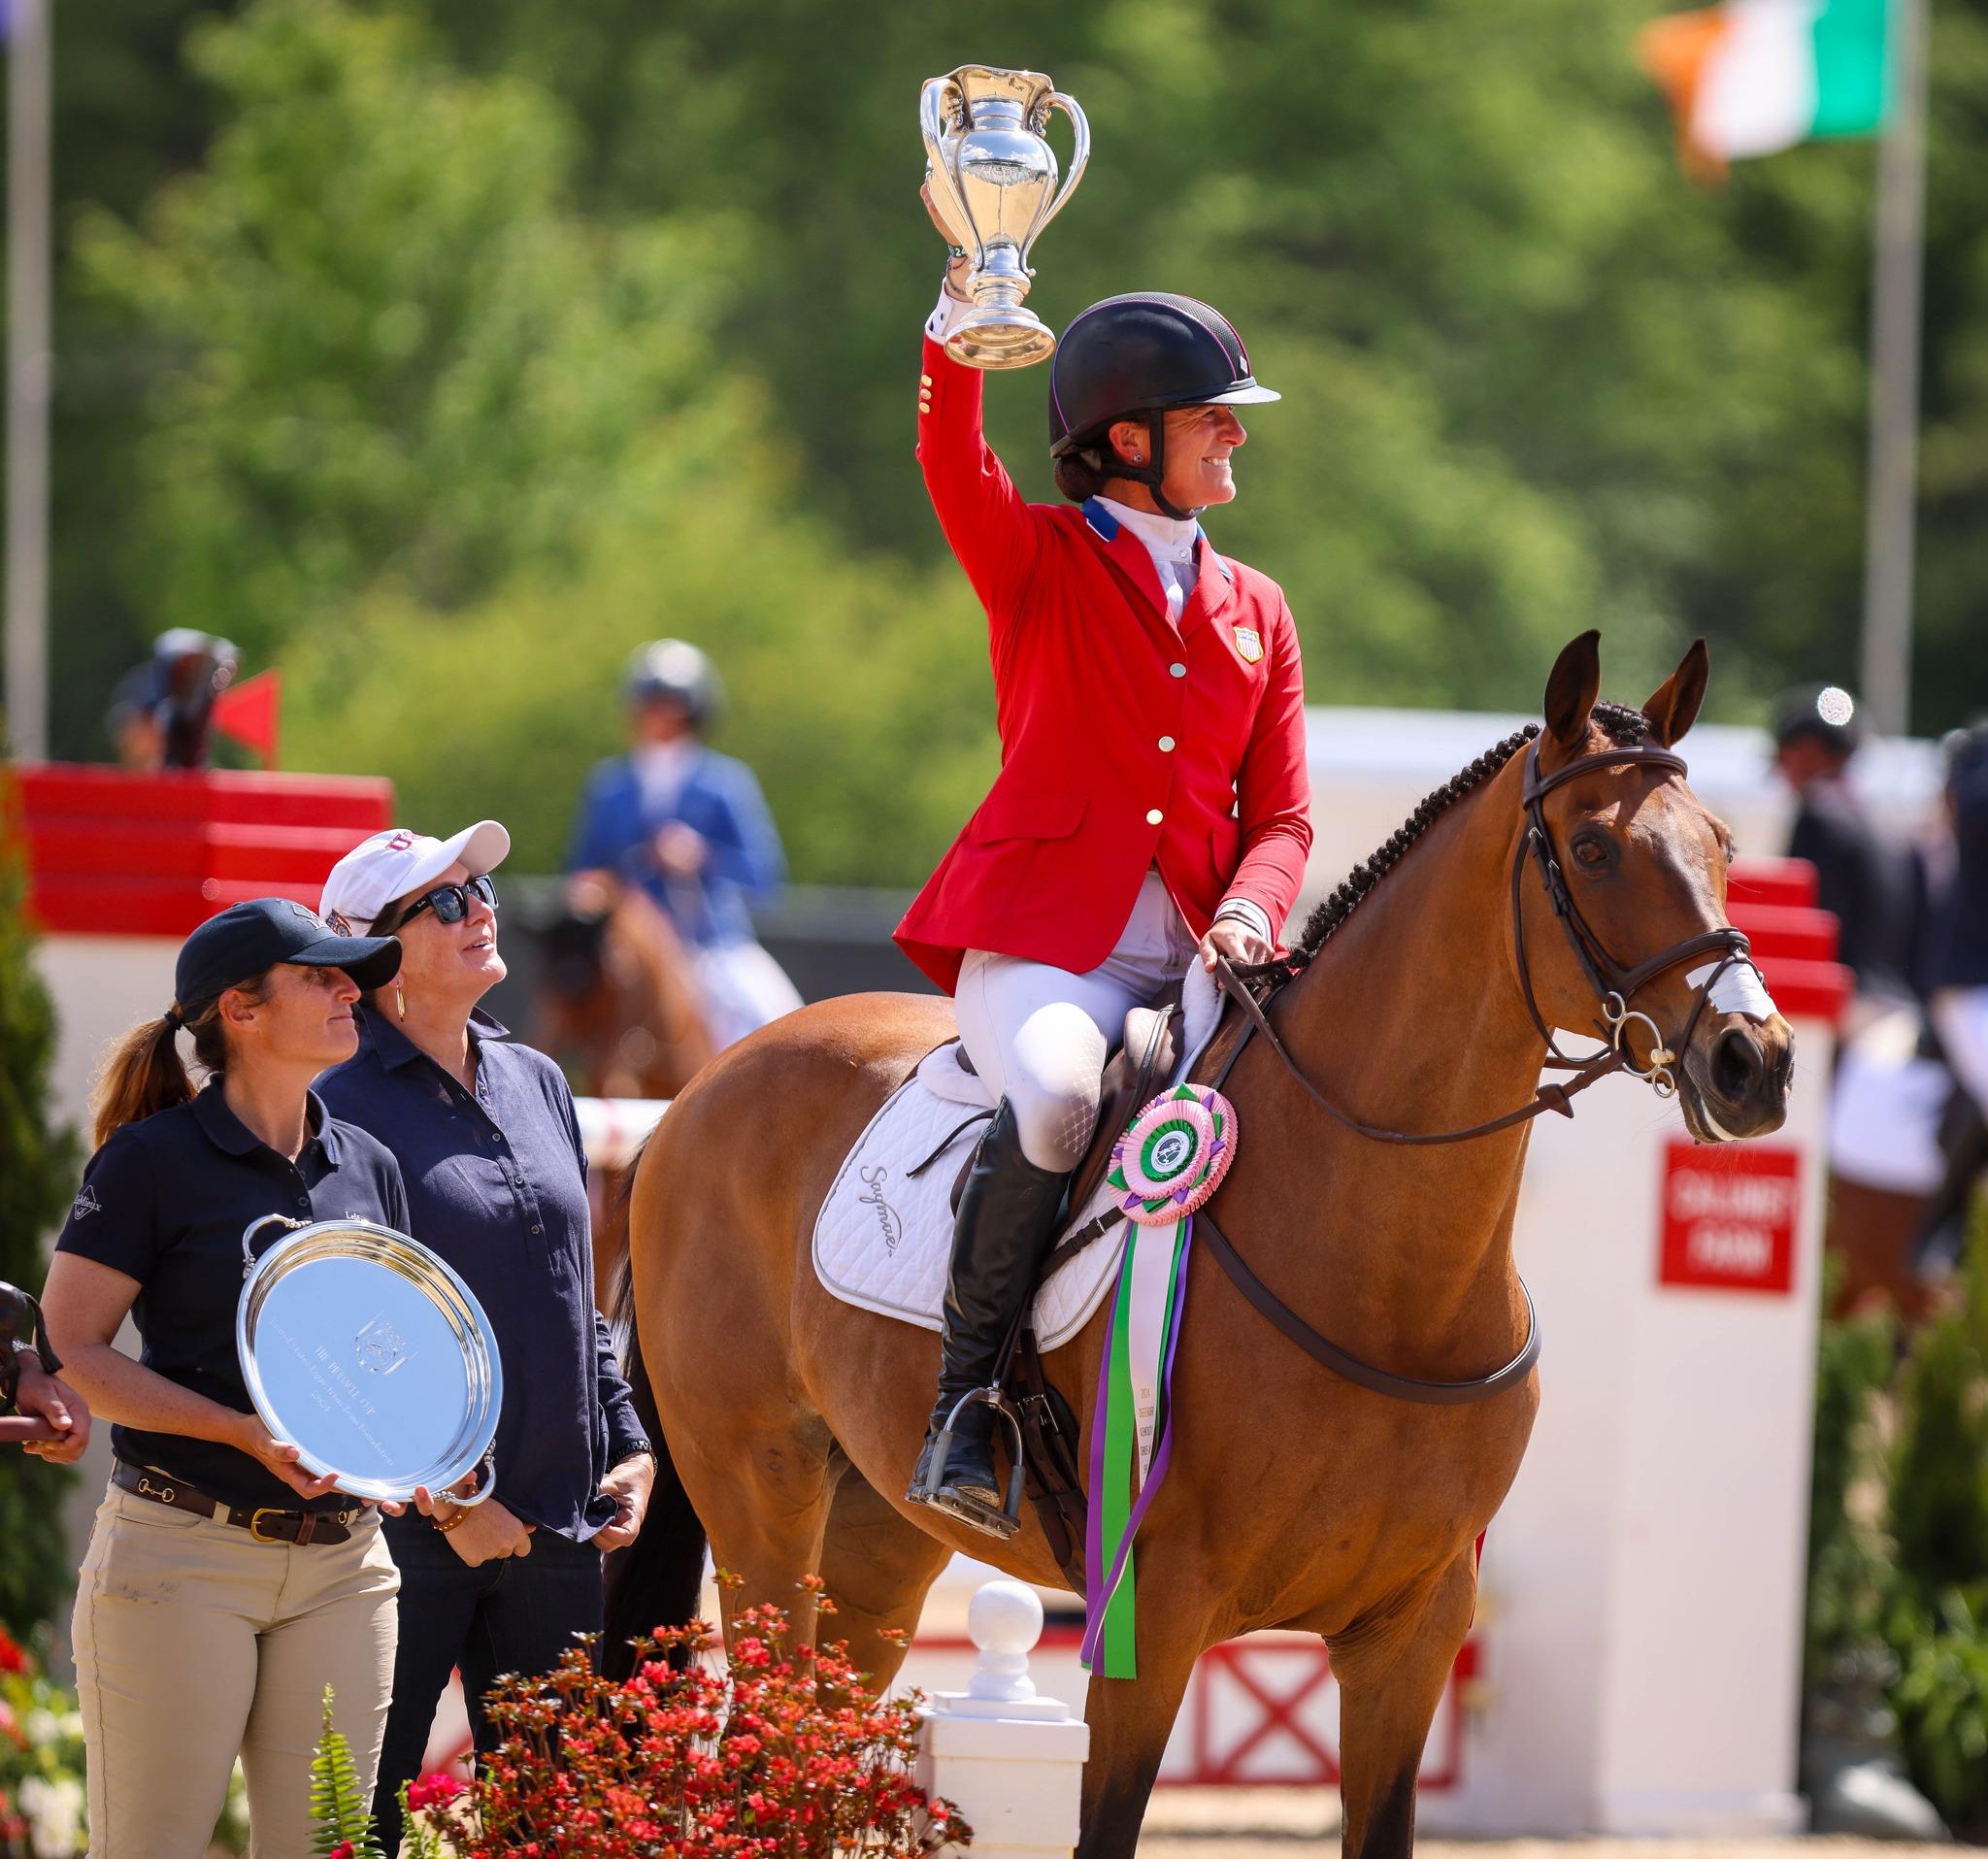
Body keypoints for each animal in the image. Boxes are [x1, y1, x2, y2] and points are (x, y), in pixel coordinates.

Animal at [612, 632, 1797, 1852]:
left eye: (1721, 846)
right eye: (1595, 848)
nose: (1752, 1062)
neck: (1385, 1270)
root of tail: (698, 1093)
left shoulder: (1411, 1633)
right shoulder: (1153, 1615)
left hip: (877, 1539)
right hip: (761, 1494)